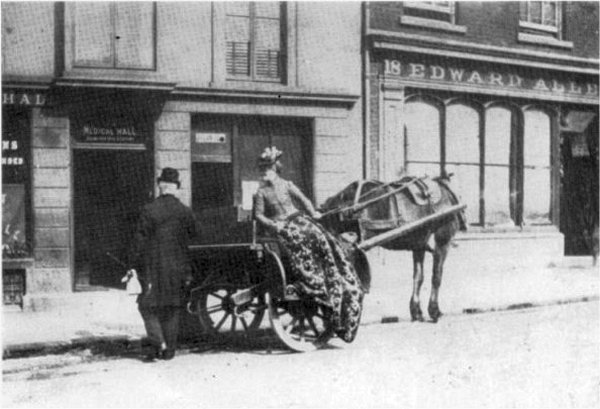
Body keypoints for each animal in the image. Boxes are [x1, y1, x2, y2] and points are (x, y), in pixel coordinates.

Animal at [322, 175, 466, 322]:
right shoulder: (442, 242)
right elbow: (436, 276)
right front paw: (434, 310)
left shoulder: (419, 245)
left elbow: (419, 277)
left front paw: (416, 311)